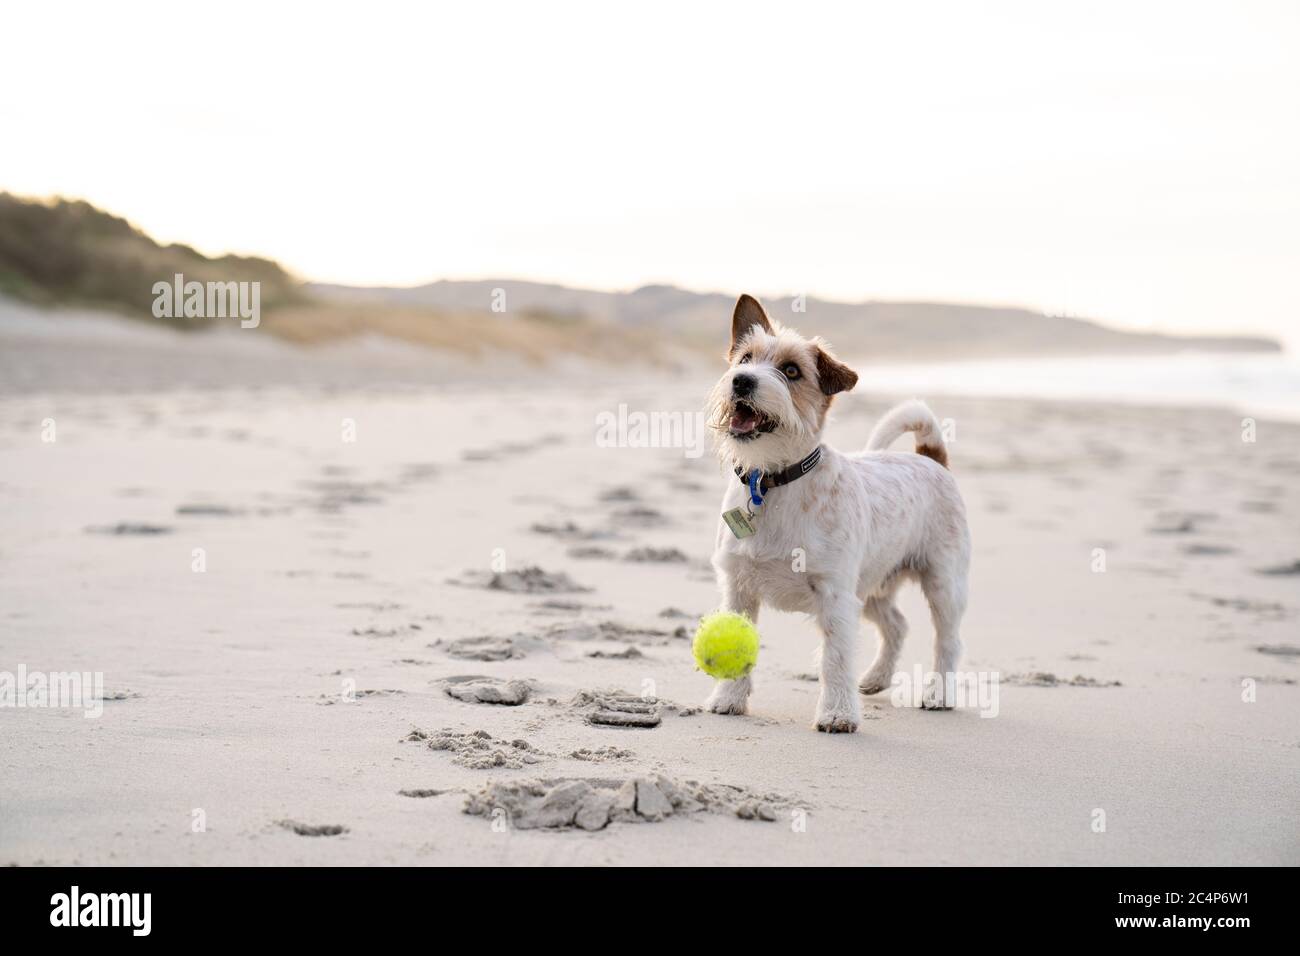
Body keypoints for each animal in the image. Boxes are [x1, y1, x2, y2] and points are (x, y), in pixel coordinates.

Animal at [707, 291, 972, 733]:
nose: (742, 381)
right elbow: (738, 645)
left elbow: (835, 658)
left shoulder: (834, 595)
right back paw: (876, 678)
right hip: (871, 585)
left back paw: (938, 694)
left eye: (791, 371)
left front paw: (837, 714)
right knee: (897, 625)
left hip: (942, 583)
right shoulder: (739, 589)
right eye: (744, 358)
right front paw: (728, 698)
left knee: (948, 639)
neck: (774, 482)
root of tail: (931, 458)